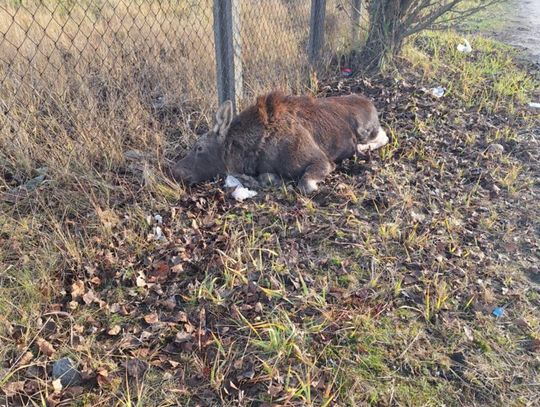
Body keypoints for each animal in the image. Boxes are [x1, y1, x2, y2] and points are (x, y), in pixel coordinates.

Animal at [173, 92, 388, 194]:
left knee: (383, 136)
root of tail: (371, 103)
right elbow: (267, 178)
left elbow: (305, 184)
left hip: (364, 130)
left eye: (199, 147)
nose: (174, 171)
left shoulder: (322, 160)